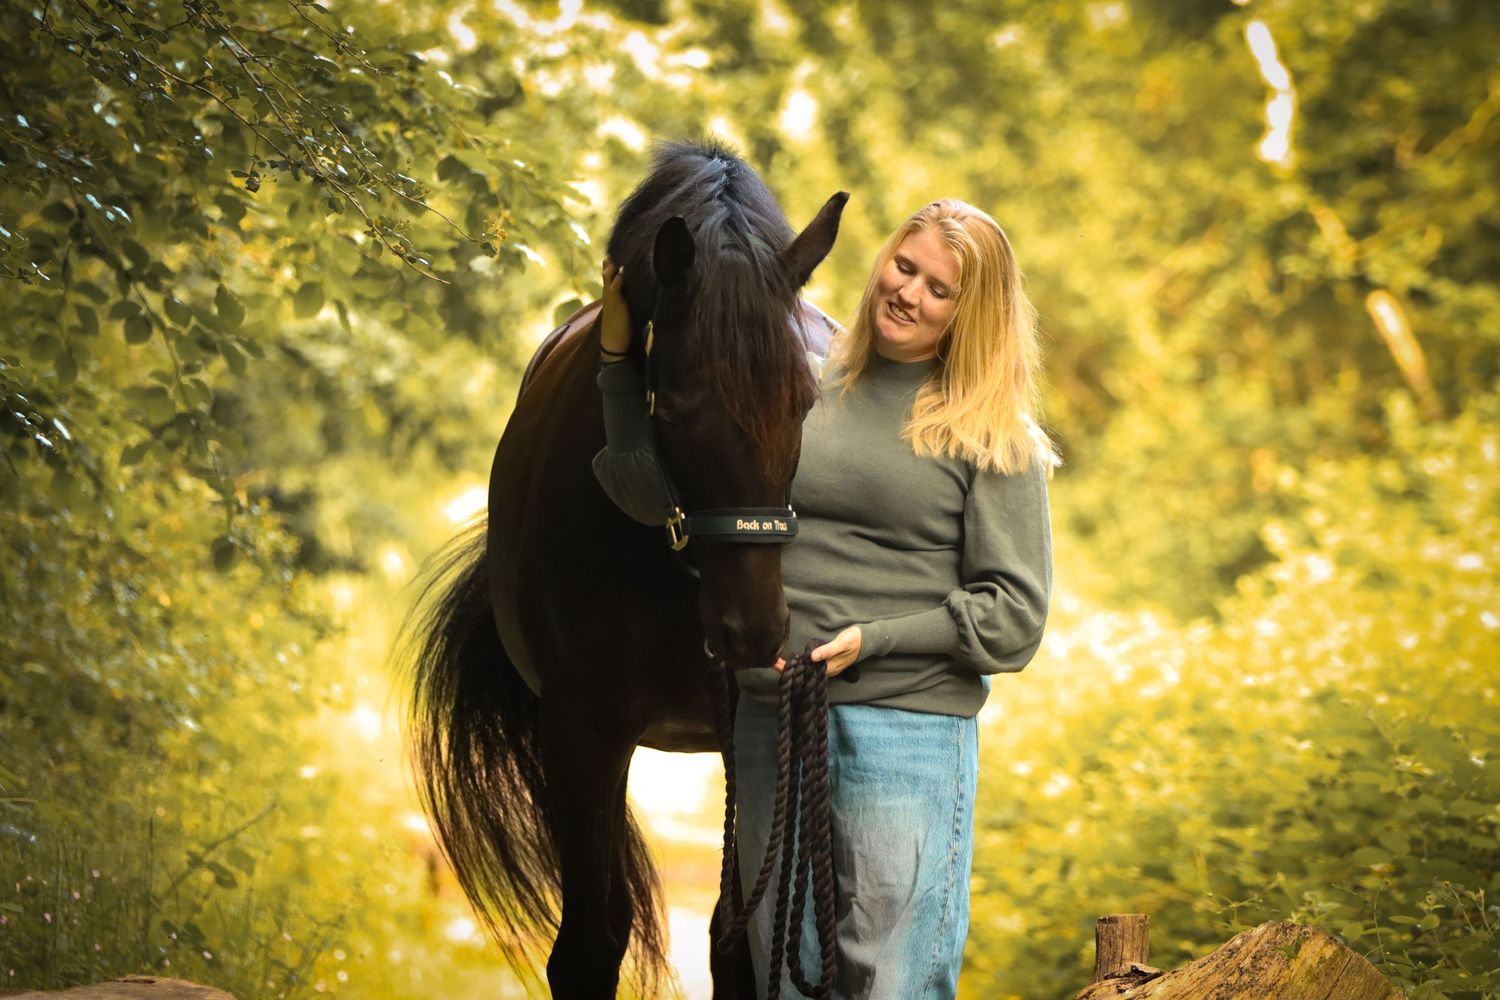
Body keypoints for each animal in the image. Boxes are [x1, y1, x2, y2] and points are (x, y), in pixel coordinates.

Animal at [403, 138, 848, 999]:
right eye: (671, 411)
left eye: (805, 404)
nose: (753, 631)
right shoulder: (582, 730)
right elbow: (588, 945)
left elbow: (738, 944)